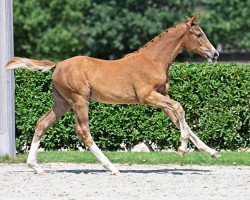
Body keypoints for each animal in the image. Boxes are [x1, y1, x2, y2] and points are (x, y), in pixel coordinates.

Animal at [5, 15, 219, 175]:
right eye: (198, 34)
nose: (215, 54)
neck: (152, 61)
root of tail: (57, 65)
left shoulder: (161, 95)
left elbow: (178, 118)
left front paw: (211, 151)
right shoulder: (147, 97)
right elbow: (179, 108)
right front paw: (182, 148)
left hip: (62, 103)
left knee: (42, 123)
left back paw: (35, 166)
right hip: (79, 100)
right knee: (83, 131)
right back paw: (112, 167)